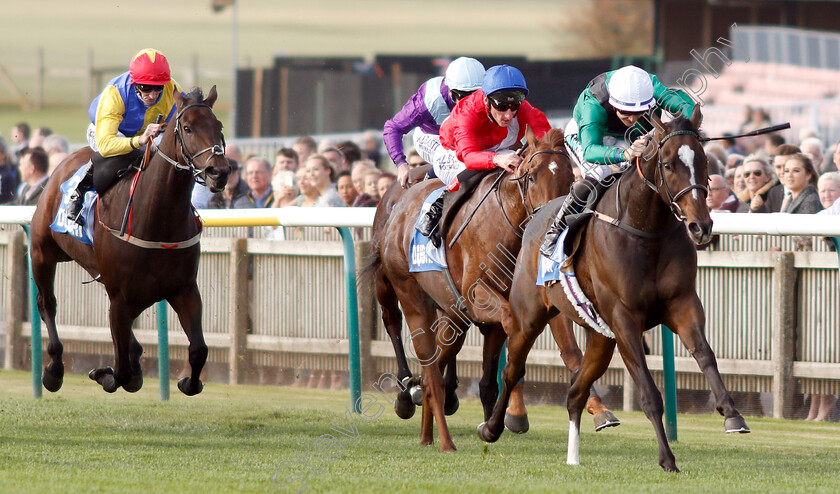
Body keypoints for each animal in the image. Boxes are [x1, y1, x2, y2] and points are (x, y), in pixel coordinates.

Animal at [29, 87, 230, 396]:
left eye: (218, 127)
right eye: (187, 128)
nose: (219, 172)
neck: (158, 219)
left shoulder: (184, 289)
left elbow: (199, 350)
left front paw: (187, 381)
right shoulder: (120, 297)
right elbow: (120, 370)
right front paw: (103, 374)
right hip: (43, 252)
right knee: (46, 303)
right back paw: (53, 370)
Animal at [370, 127, 616, 452]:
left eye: (569, 178)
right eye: (531, 177)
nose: (552, 220)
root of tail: (401, 201)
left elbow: (492, 379)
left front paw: (496, 422)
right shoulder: (477, 295)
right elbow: (513, 333)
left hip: (449, 309)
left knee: (440, 356)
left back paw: (429, 422)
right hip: (398, 286)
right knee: (395, 323)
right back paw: (410, 397)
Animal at [480, 107, 748, 470]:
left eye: (704, 161)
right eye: (667, 165)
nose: (701, 226)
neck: (646, 232)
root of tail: (535, 216)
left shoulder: (682, 304)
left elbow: (705, 353)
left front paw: (732, 415)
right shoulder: (625, 319)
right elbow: (649, 393)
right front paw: (667, 458)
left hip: (600, 338)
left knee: (575, 392)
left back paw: (574, 455)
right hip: (528, 318)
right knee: (511, 371)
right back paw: (492, 427)